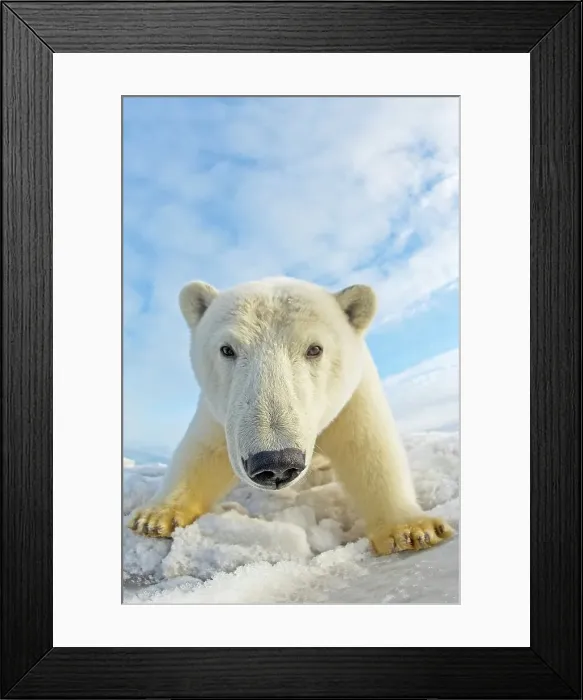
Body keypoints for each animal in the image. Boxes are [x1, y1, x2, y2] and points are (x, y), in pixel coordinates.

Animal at [128, 277, 453, 555]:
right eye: (227, 349)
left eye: (315, 349)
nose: (276, 462)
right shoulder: (221, 410)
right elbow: (204, 452)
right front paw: (154, 518)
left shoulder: (353, 395)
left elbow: (368, 447)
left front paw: (411, 530)